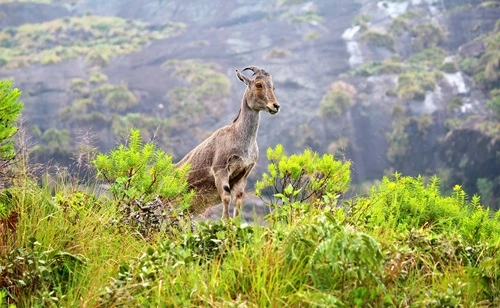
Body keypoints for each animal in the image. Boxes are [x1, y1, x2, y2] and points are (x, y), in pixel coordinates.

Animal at [176, 65, 280, 219]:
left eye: (273, 86)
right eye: (258, 84)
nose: (275, 106)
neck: (239, 137)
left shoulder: (242, 174)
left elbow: (238, 199)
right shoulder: (221, 170)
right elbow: (226, 197)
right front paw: (226, 221)